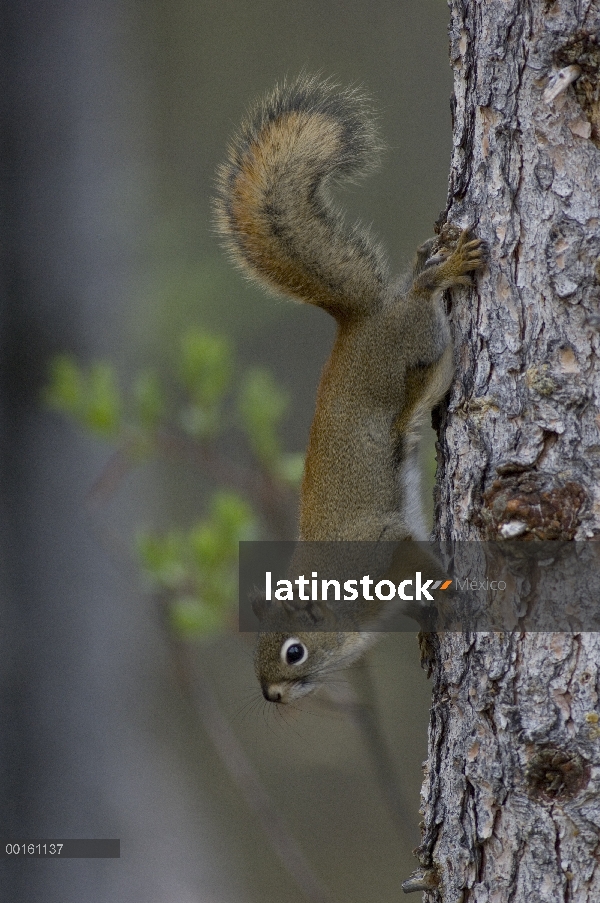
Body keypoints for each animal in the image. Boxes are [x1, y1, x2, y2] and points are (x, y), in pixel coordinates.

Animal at [216, 74, 488, 704]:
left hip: (417, 345)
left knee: (423, 310)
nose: (271, 696)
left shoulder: (383, 550)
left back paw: (436, 273)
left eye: (293, 652)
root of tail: (359, 321)